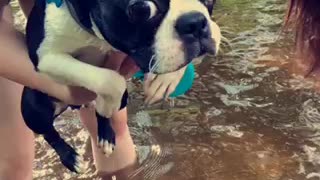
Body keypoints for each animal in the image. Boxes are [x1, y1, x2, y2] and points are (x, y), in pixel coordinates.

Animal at [21, 0, 221, 174]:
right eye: (141, 9)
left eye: (210, 0)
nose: (195, 22)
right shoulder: (47, 57)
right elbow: (111, 79)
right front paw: (105, 105)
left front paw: (164, 79)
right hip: (32, 106)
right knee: (48, 131)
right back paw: (71, 157)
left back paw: (106, 135)